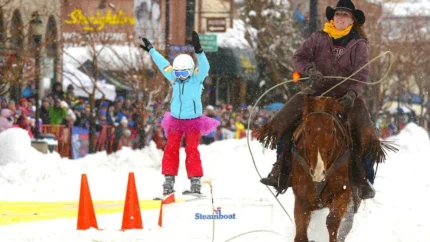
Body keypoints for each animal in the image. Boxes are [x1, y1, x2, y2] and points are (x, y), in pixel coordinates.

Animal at [288, 96, 360, 242]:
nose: (318, 172)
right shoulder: (301, 200)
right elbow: (301, 234)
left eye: (331, 130)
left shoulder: (342, 193)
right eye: (306, 130)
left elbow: (332, 221)